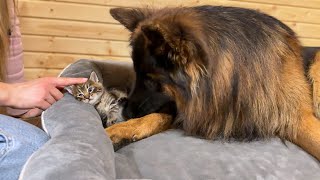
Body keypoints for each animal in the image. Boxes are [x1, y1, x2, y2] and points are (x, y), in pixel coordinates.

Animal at [105, 5, 320, 160]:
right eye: (136, 73)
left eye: (150, 79)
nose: (125, 113)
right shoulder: (202, 109)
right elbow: (160, 116)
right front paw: (124, 129)